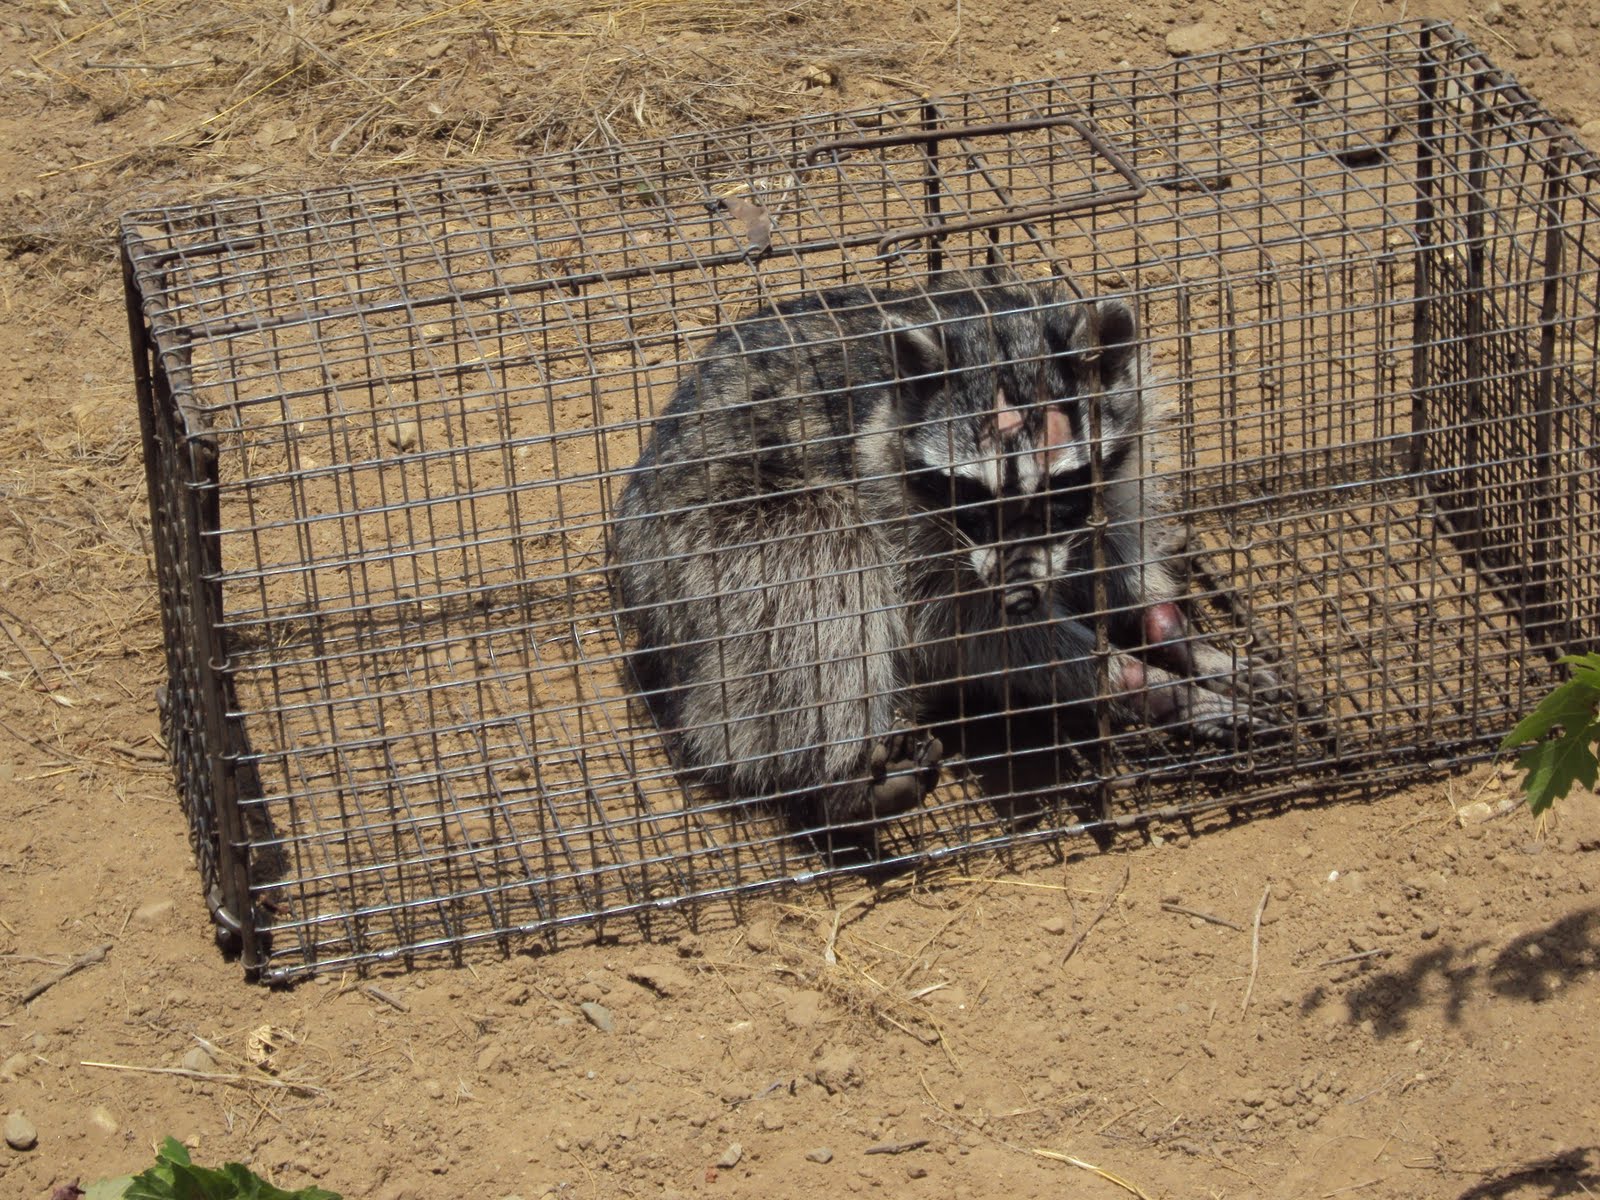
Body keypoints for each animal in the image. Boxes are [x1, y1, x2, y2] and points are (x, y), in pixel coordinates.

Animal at [609, 269, 1276, 826]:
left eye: (1057, 488)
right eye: (973, 494)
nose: (1019, 594)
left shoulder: (1120, 459)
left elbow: (1116, 548)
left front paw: (1179, 637)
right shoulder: (894, 504)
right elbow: (961, 633)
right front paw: (1145, 682)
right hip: (704, 545)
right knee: (823, 567)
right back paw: (836, 778)